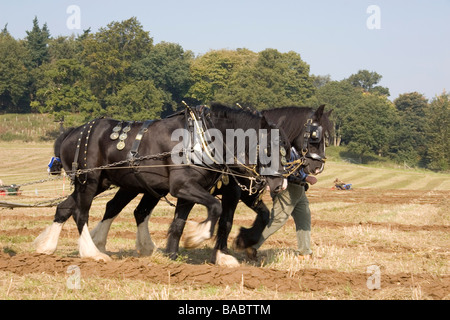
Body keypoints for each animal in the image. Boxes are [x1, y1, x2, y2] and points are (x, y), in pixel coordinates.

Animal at [37, 104, 286, 262]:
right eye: (268, 147)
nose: (280, 184)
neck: (203, 139)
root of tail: (72, 132)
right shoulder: (185, 187)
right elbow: (216, 210)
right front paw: (197, 238)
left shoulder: (192, 191)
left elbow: (179, 224)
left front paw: (173, 255)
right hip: (89, 181)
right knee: (82, 213)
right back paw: (92, 252)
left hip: (103, 183)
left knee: (67, 207)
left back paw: (47, 246)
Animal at [89, 104, 330, 266]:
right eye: (315, 136)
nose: (317, 167)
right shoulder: (232, 192)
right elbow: (224, 221)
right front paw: (220, 251)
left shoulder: (244, 194)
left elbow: (258, 216)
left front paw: (242, 243)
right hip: (130, 185)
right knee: (113, 207)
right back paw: (96, 242)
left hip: (148, 188)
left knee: (134, 210)